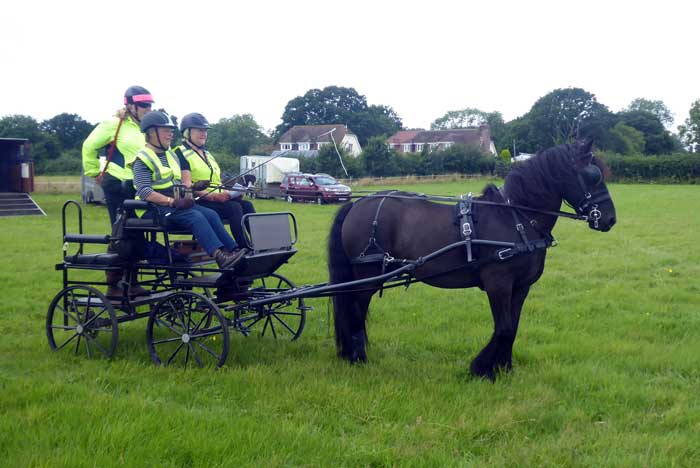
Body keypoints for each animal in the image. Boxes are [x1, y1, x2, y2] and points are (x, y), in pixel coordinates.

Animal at [328, 140, 616, 380]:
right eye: (593, 175)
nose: (610, 219)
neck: (516, 218)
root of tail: (357, 204)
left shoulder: (521, 287)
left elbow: (513, 327)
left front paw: (504, 367)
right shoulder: (498, 284)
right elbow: (504, 327)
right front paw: (483, 369)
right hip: (367, 275)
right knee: (355, 310)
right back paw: (357, 358)